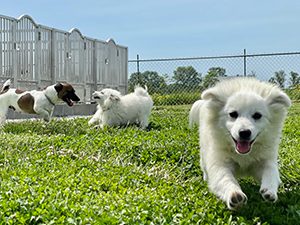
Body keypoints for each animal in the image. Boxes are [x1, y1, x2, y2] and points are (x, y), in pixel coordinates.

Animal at [198, 77, 290, 209]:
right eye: (233, 114)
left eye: (257, 115)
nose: (244, 132)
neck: (243, 155)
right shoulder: (220, 162)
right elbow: (224, 178)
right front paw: (234, 194)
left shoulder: (265, 160)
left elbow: (271, 172)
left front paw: (270, 191)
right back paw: (206, 177)